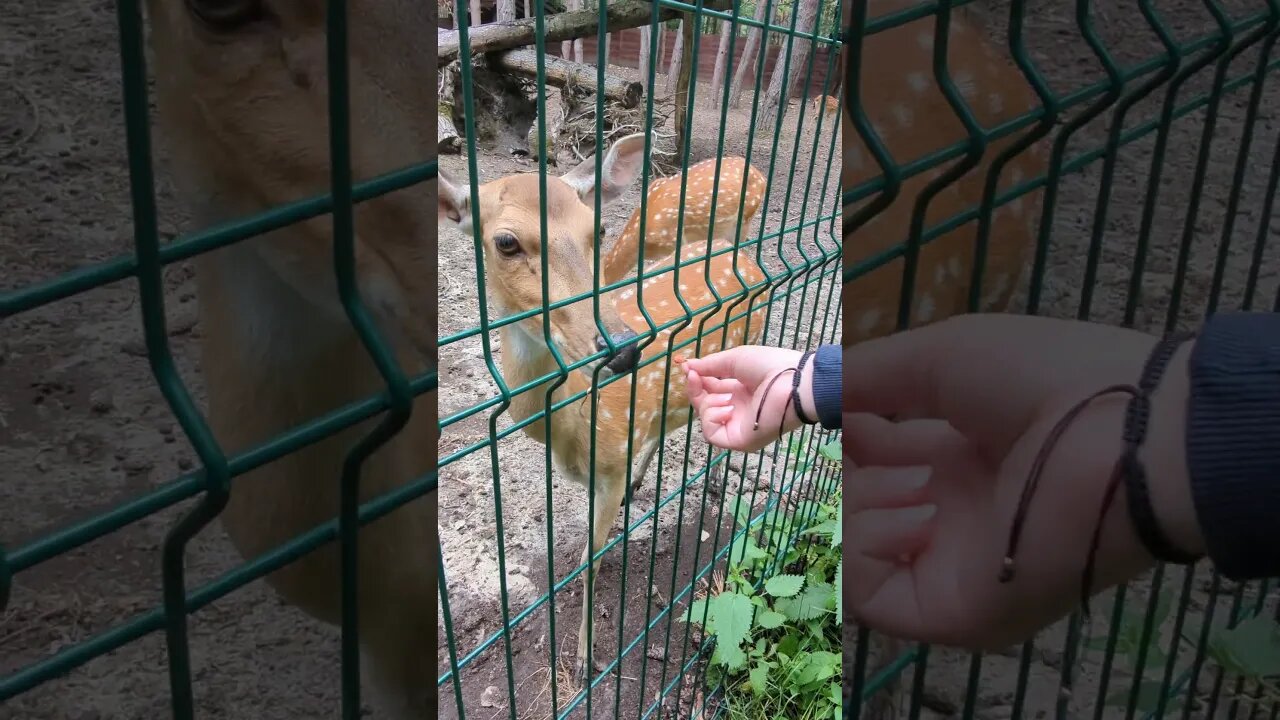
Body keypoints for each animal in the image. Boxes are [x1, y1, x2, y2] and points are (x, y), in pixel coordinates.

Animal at [435, 133, 773, 676]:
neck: (572, 425)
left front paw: (585, 655)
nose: (624, 348)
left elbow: (591, 560)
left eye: (597, 226)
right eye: (505, 242)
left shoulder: (608, 468)